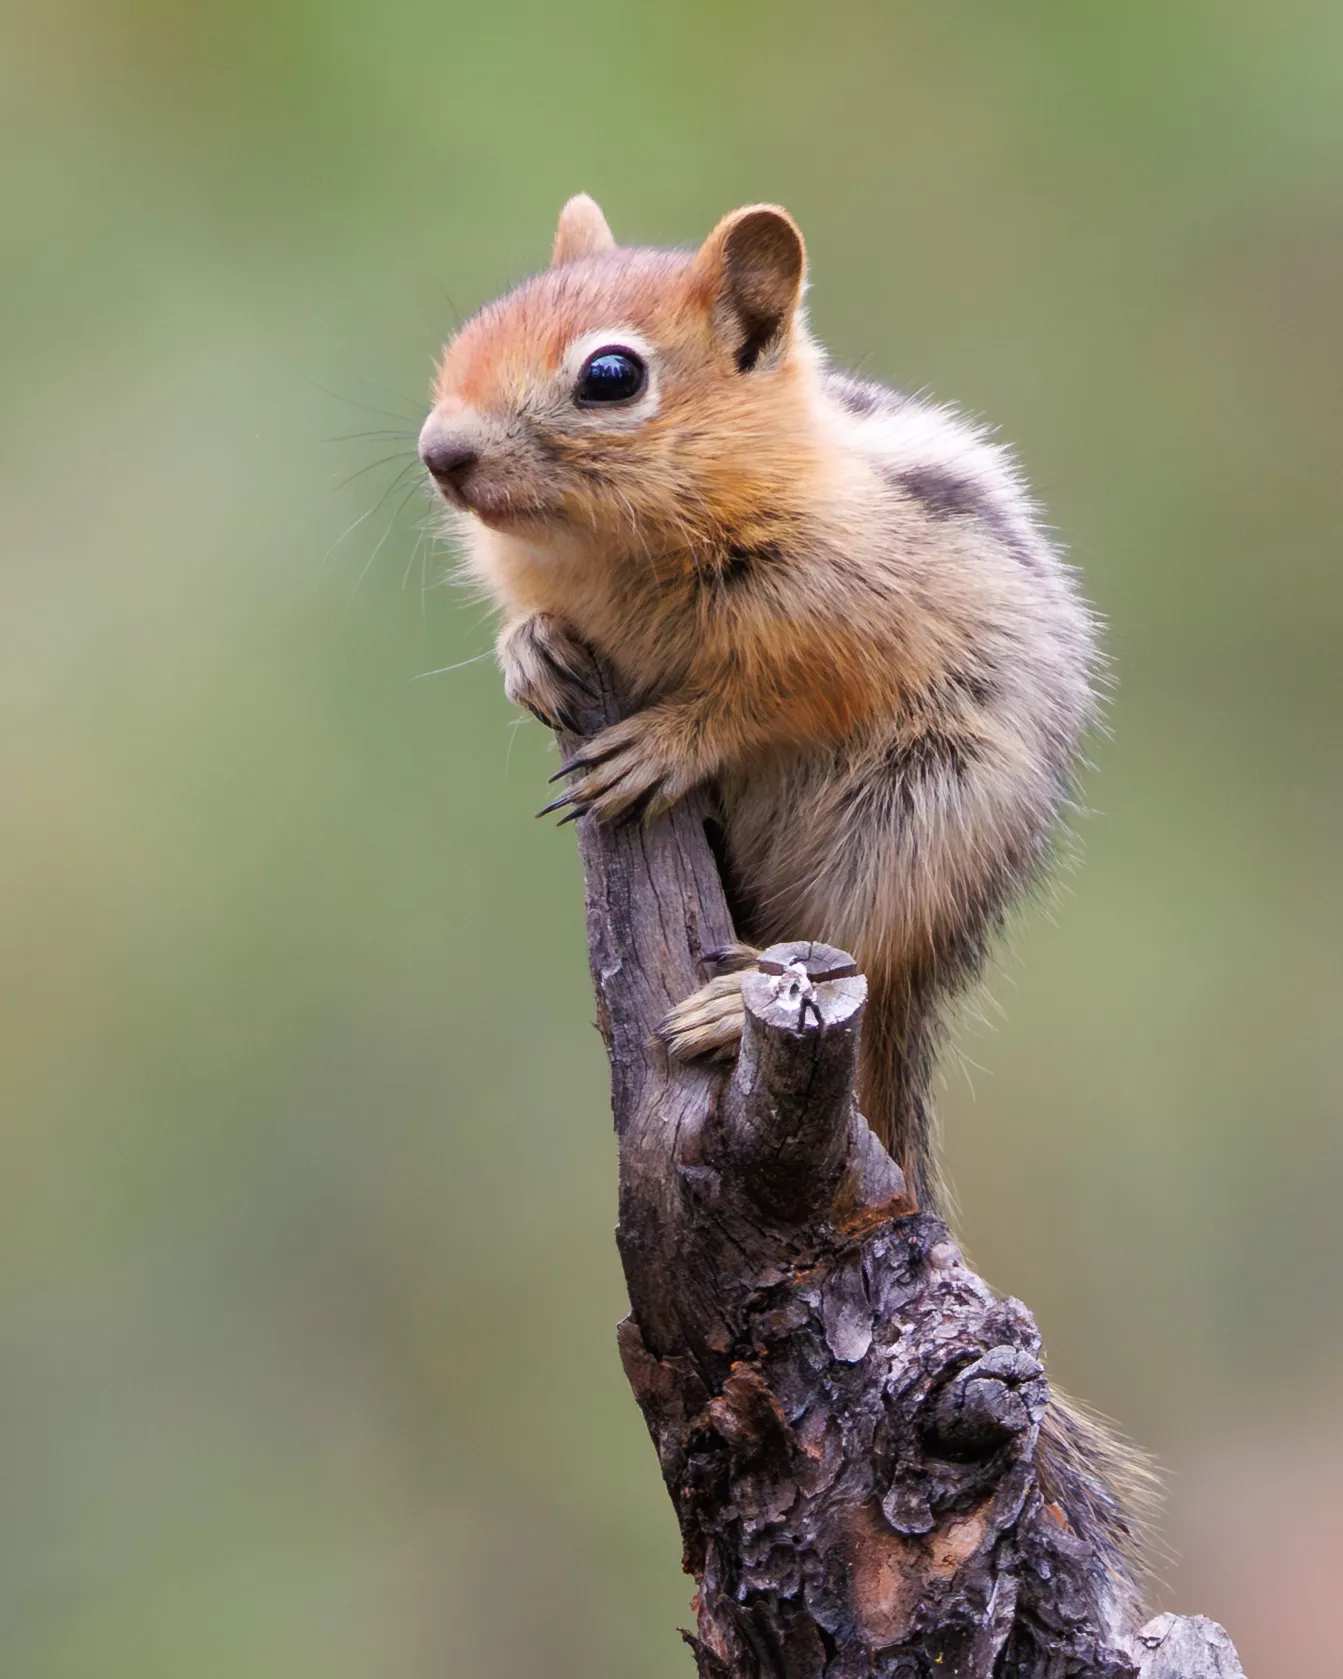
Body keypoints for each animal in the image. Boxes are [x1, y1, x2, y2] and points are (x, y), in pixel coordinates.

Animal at [418, 196, 1153, 1596]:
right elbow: (533, 630)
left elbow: (768, 692)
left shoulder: (844, 610)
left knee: (848, 936)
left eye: (610, 375)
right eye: (461, 340)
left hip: (910, 820)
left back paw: (722, 1010)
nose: (439, 454)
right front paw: (528, 654)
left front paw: (671, 738)